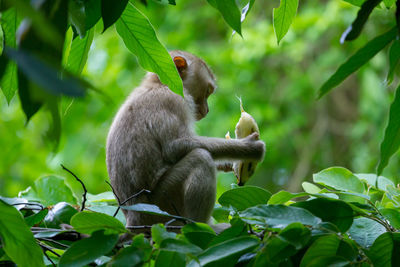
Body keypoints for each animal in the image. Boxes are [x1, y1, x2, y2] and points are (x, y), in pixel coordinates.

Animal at [105, 50, 266, 230]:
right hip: (160, 205)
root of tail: (133, 219)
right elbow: (175, 147)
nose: (207, 110)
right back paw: (202, 226)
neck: (158, 84)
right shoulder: (174, 100)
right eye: (208, 91)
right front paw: (249, 147)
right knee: (201, 158)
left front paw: (227, 163)